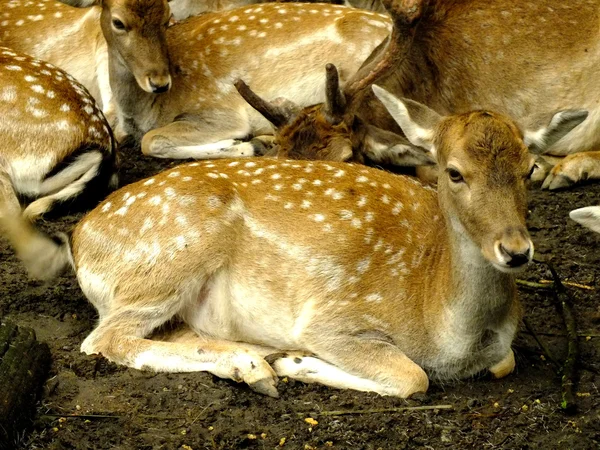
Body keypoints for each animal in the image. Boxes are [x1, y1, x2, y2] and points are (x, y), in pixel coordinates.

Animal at [3, 0, 394, 156]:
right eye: (119, 22)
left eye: (167, 17)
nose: (159, 81)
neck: (145, 109)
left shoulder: (219, 109)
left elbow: (152, 141)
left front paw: (241, 145)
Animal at [3, 80, 584, 394]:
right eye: (454, 172)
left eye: (529, 169)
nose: (516, 251)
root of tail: (81, 238)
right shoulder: (335, 317)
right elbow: (413, 376)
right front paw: (299, 362)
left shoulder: (502, 351)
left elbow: (504, 362)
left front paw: (288, 361)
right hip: (168, 256)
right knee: (105, 339)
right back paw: (253, 364)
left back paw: (251, 358)